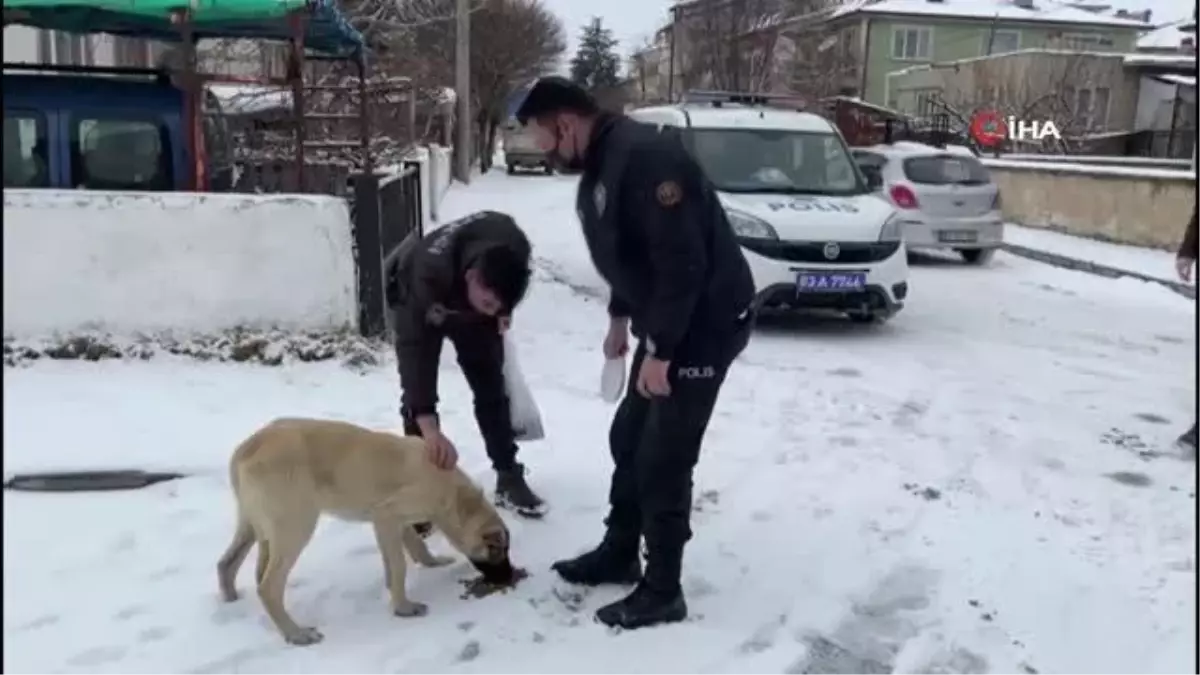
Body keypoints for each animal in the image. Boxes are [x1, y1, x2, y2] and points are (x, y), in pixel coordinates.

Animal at [216, 417, 511, 643]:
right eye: (497, 550)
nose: (510, 577)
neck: (455, 496)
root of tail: (246, 448)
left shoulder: (391, 522)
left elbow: (413, 548)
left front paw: (429, 564)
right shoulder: (387, 515)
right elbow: (400, 564)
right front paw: (403, 607)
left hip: (253, 526)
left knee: (228, 563)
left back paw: (231, 600)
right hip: (296, 526)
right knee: (267, 586)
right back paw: (296, 633)